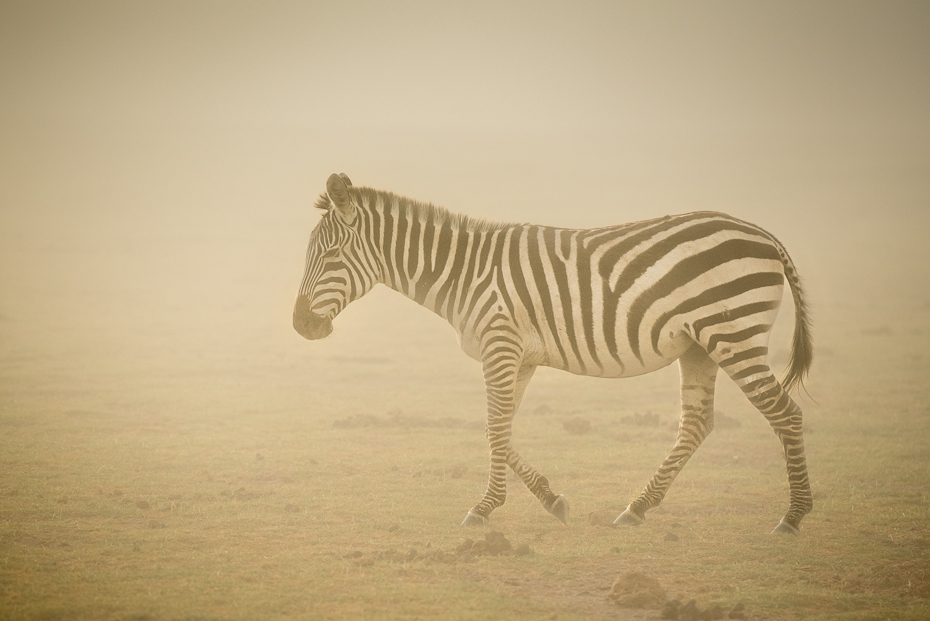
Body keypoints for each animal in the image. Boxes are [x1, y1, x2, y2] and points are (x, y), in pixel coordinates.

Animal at [296, 173, 812, 532]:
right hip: (699, 345)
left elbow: (495, 427)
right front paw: (550, 499)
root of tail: (765, 235)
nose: (301, 325)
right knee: (697, 423)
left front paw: (484, 509)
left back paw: (793, 517)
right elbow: (499, 429)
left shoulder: (500, 345)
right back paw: (637, 508)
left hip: (733, 333)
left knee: (786, 414)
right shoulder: (517, 356)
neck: (464, 273)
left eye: (333, 256)